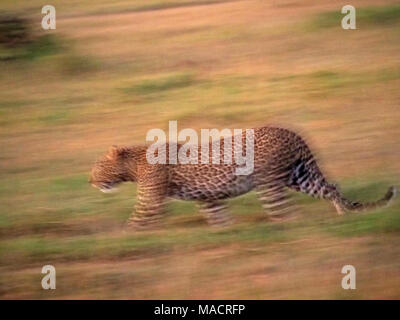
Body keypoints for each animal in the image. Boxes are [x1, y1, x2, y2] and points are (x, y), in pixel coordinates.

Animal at [89, 124, 396, 228]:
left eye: (97, 166)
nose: (89, 181)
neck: (134, 163)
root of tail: (290, 132)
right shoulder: (208, 198)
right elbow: (218, 217)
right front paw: (226, 232)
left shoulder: (149, 200)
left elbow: (136, 222)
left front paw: (119, 240)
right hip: (300, 177)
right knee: (331, 186)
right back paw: (343, 214)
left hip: (268, 182)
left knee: (285, 213)